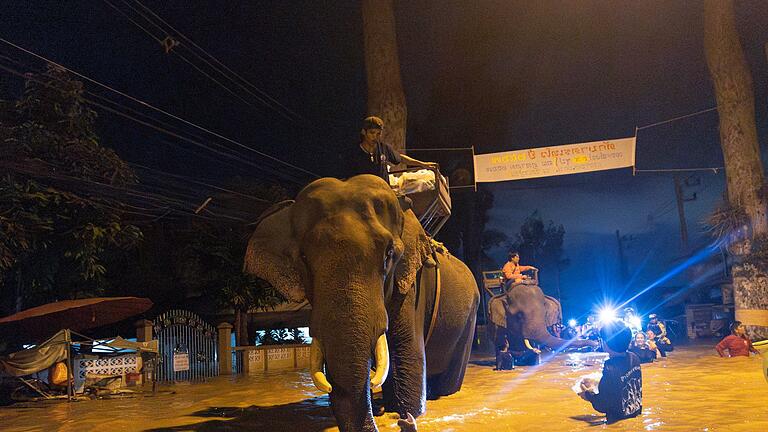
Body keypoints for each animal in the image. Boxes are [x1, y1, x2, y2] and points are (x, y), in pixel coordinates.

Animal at [243, 175, 476, 432]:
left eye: (388, 254)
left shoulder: (412, 284)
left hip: (470, 317)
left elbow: (407, 354)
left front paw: (406, 412)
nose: (404, 421)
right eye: (303, 258)